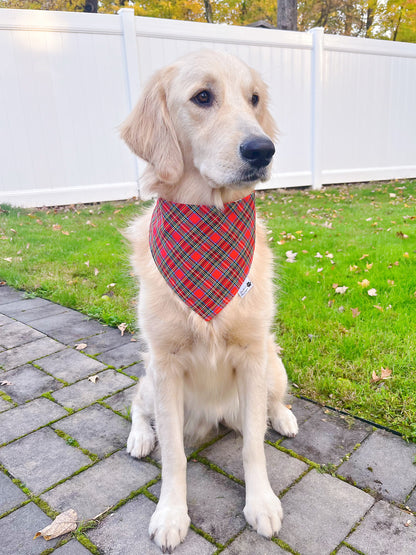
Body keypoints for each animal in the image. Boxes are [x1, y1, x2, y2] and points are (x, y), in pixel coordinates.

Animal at [120, 50, 300, 552]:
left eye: (254, 99)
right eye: (203, 97)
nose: (263, 150)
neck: (210, 222)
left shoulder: (254, 355)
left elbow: (253, 444)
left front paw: (261, 503)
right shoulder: (165, 364)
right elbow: (174, 456)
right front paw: (171, 513)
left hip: (274, 365)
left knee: (273, 405)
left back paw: (284, 417)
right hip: (150, 379)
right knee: (135, 405)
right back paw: (140, 438)